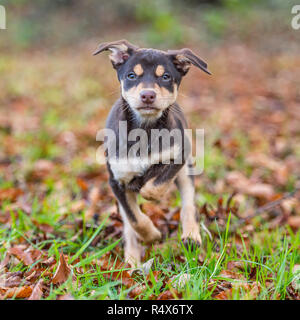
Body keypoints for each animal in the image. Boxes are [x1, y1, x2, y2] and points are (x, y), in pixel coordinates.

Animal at [94, 40, 211, 268]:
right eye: (131, 75)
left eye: (165, 77)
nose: (148, 95)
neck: (145, 130)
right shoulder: (116, 181)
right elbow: (134, 218)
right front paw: (152, 235)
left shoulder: (180, 155)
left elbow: (154, 186)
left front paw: (148, 185)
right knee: (129, 224)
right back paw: (131, 262)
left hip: (186, 170)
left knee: (188, 203)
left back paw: (191, 236)